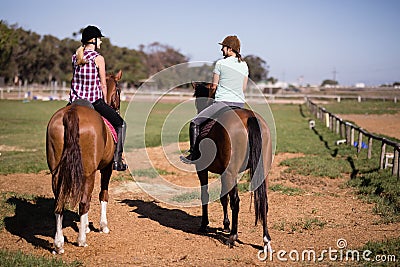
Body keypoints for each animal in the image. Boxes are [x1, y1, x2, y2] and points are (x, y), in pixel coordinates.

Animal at [46, 70, 122, 254]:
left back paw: (59, 244)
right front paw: (102, 226)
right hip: (89, 172)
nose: (117, 107)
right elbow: (103, 195)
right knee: (83, 201)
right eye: (118, 91)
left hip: (57, 173)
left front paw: (86, 225)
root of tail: (71, 113)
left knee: (59, 204)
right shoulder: (106, 169)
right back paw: (81, 240)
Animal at [191, 82, 274, 254]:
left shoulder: (203, 170)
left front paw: (204, 224)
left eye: (197, 97)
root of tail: (250, 117)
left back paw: (233, 237)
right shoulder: (223, 173)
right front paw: (226, 225)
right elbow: (223, 197)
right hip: (262, 172)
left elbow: (206, 195)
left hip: (231, 172)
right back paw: (266, 240)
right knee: (264, 202)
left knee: (236, 201)